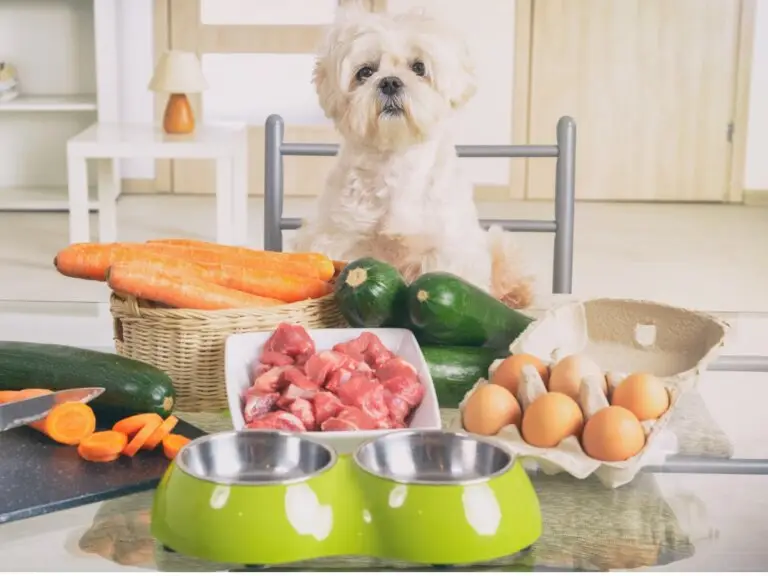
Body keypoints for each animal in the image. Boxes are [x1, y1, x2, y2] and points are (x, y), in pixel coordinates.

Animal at [294, 6, 536, 308]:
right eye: (365, 72)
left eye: (419, 68)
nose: (390, 82)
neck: (398, 160)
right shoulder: (342, 238)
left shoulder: (443, 248)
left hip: (498, 244)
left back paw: (515, 295)